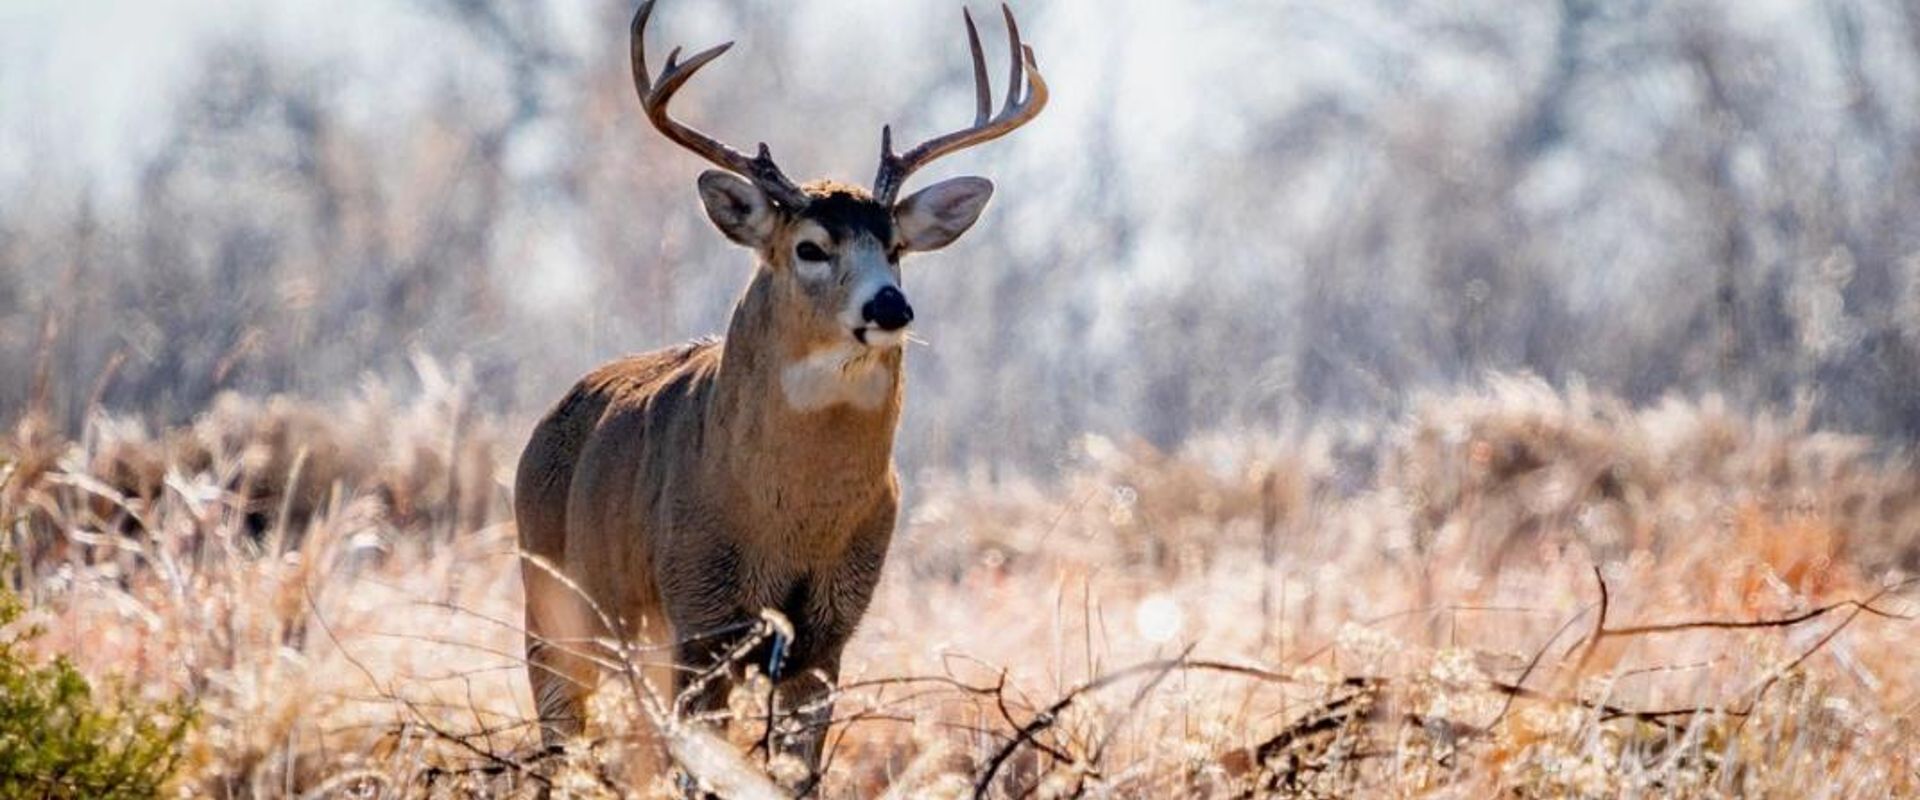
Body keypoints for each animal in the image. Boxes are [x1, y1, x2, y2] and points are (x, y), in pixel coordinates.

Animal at [513, 0, 1047, 784]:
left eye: (895, 248)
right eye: (811, 248)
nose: (891, 307)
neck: (789, 518)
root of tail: (547, 421)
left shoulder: (827, 632)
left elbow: (797, 772)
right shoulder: (698, 613)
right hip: (550, 610)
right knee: (558, 743)